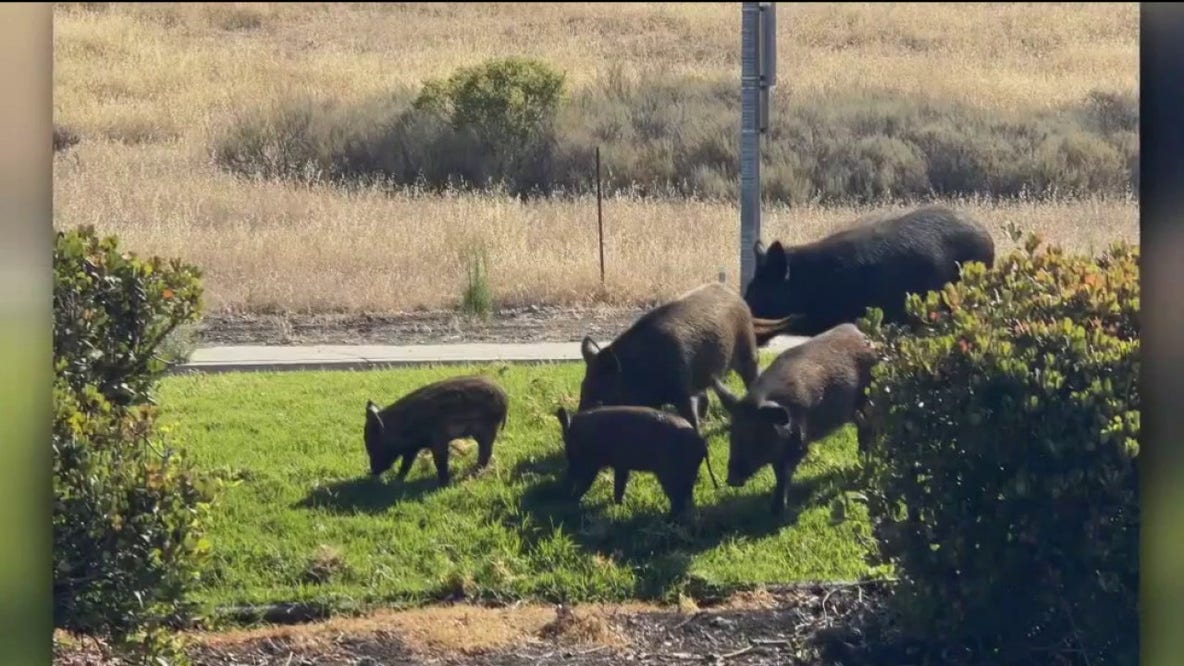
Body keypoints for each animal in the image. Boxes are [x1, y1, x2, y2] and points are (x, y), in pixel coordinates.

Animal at [363, 375, 509, 487]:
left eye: (374, 445)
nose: (372, 472)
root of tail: (505, 398)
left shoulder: (438, 440)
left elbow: (440, 461)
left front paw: (443, 484)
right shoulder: (412, 449)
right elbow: (406, 465)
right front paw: (397, 481)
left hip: (488, 430)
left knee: (486, 453)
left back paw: (472, 474)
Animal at [554, 405, 720, 519]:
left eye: (569, 452)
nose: (563, 490)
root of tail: (701, 442)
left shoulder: (591, 463)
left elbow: (588, 484)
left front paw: (575, 503)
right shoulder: (621, 465)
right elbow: (619, 487)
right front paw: (619, 506)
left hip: (671, 474)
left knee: (678, 499)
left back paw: (668, 519)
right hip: (690, 473)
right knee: (687, 498)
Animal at [578, 282, 799, 433]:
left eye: (600, 398)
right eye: (583, 388)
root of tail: (737, 297)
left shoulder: (682, 389)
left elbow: (689, 418)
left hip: (748, 353)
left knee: (752, 377)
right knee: (706, 396)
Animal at [710, 323, 878, 516]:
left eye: (757, 433)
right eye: (733, 431)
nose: (731, 479)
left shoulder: (799, 442)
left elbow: (783, 474)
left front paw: (777, 512)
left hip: (868, 394)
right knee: (863, 424)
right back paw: (861, 454)